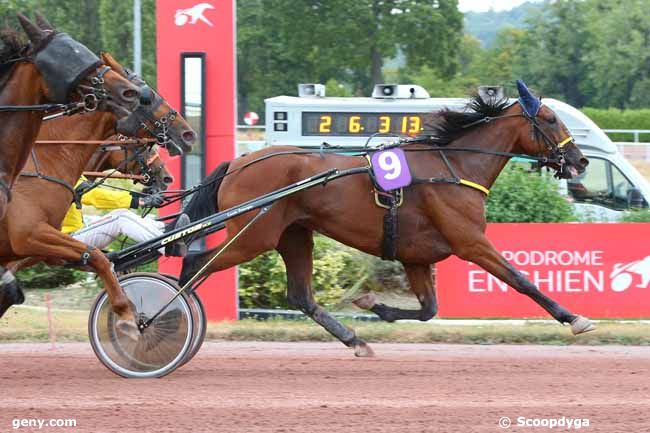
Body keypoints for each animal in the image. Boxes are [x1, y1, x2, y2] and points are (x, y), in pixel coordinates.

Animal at [178, 81, 592, 354]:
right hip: (253, 236)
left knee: (300, 295)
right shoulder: (471, 242)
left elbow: (429, 310)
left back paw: (354, 339)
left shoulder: (416, 256)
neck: (455, 167)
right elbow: (521, 280)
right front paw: (573, 318)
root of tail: (240, 161)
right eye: (550, 119)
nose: (580, 160)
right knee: (195, 265)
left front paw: (372, 304)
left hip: (293, 234)